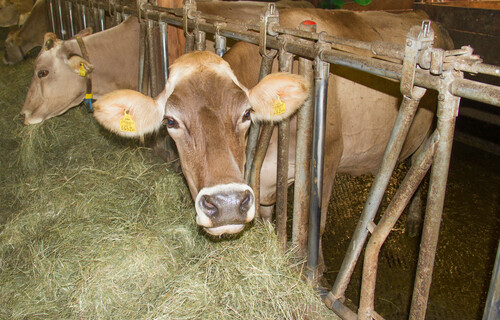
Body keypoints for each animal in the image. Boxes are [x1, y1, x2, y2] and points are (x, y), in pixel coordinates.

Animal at [91, 9, 454, 242]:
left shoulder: (329, 158)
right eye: (170, 121)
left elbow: (315, 230)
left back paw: (416, 221)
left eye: (247, 114)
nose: (226, 205)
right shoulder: (263, 187)